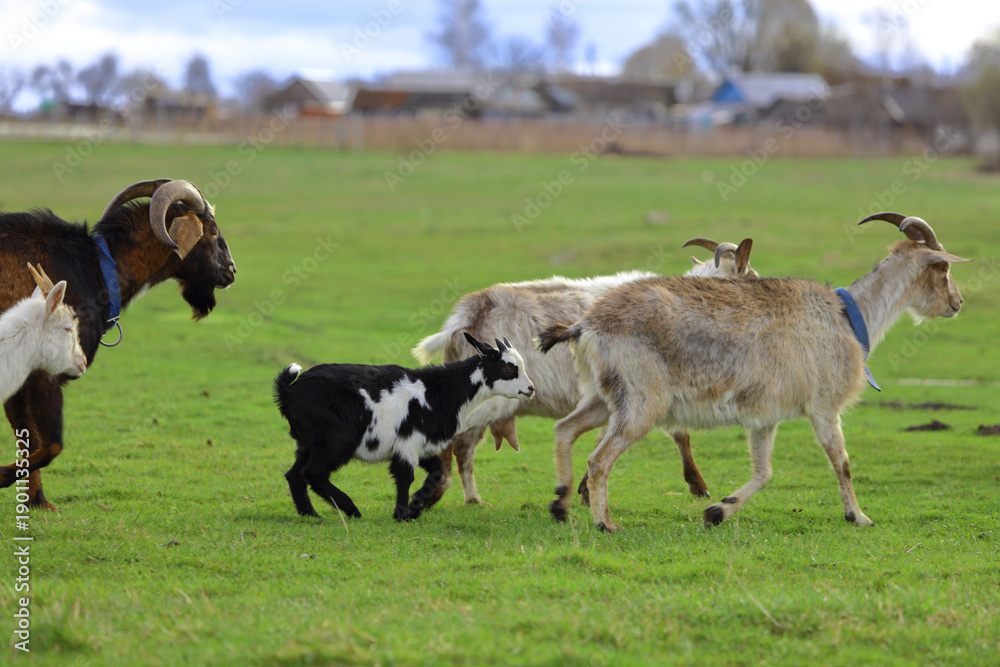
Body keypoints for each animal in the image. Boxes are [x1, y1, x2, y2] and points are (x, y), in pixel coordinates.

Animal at [274, 334, 535, 522]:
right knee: (313, 473)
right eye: (509, 368)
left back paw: (310, 514)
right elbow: (405, 477)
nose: (530, 389)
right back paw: (351, 510)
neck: (438, 393)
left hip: (308, 442)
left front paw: (415, 507)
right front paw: (402, 515)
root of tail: (290, 392)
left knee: (295, 474)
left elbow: (437, 471)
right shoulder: (408, 443)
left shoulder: (423, 446)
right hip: (337, 440)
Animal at [412, 238, 755, 509]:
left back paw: (465, 498)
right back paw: (446, 495)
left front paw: (584, 491)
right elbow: (679, 434)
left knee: (462, 445)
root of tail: (468, 314)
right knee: (457, 442)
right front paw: (698, 486)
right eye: (751, 276)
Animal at [538, 214, 970, 532]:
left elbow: (764, 471)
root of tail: (587, 324)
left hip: (603, 396)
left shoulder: (766, 416)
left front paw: (717, 511)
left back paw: (561, 504)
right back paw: (605, 523)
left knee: (565, 428)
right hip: (642, 402)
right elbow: (841, 460)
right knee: (600, 459)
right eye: (942, 267)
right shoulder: (824, 407)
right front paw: (859, 517)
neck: (848, 317)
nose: (957, 303)